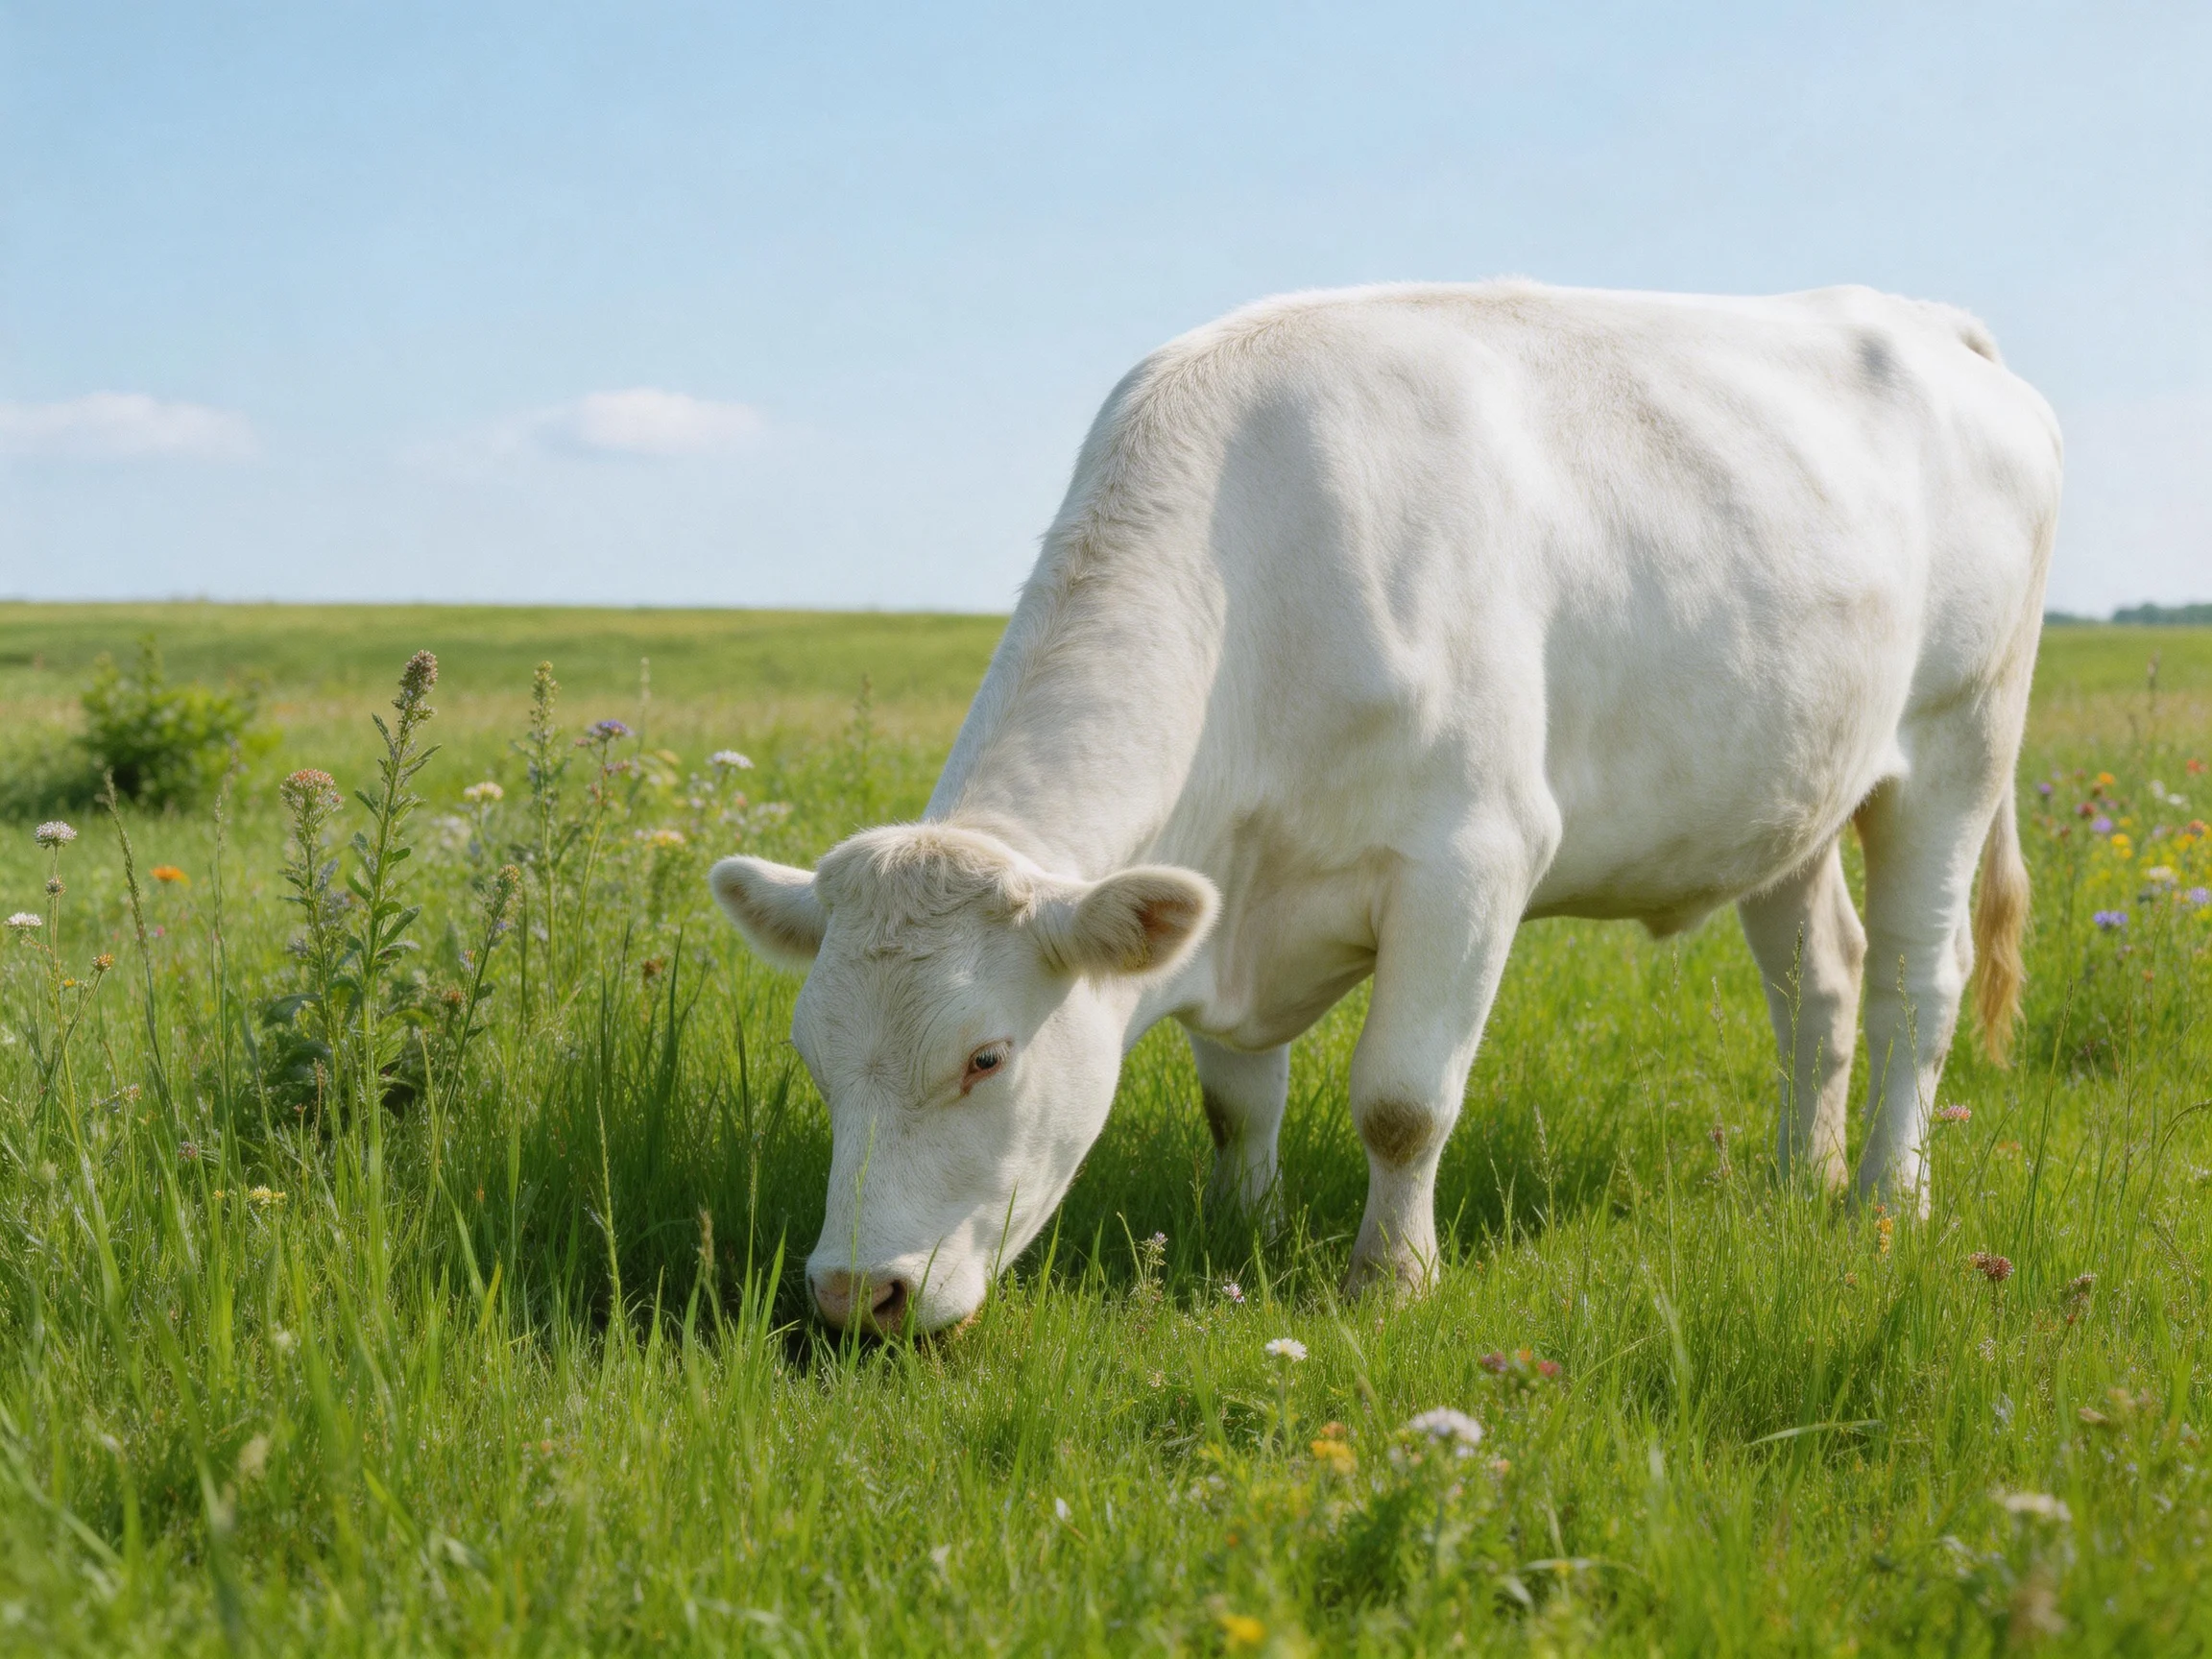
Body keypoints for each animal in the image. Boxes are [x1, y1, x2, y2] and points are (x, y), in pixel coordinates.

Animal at [711, 281, 2061, 1334]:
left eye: (986, 1057)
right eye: (814, 1057)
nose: (853, 1296)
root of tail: (1930, 324)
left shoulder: (1471, 859)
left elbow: (1404, 1104)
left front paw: (1392, 1279)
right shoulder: (1226, 890)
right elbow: (1236, 1099)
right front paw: (1240, 1230)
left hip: (1958, 743)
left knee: (1914, 987)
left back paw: (1886, 1199)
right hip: (1794, 787)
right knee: (1819, 986)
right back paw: (1801, 1177)